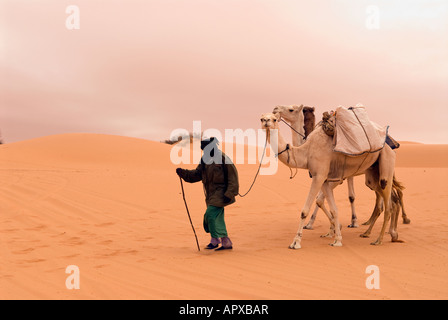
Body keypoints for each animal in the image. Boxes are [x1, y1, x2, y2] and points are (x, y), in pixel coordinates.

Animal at [260, 111, 400, 249]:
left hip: (387, 166)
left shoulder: (319, 176)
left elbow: (305, 210)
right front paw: (337, 239)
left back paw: (379, 239)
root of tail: (390, 145)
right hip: (372, 175)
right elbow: (333, 209)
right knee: (388, 199)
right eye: (261, 119)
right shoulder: (325, 180)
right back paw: (384, 234)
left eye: (274, 119)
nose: (266, 121)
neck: (307, 152)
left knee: (389, 205)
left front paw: (295, 242)